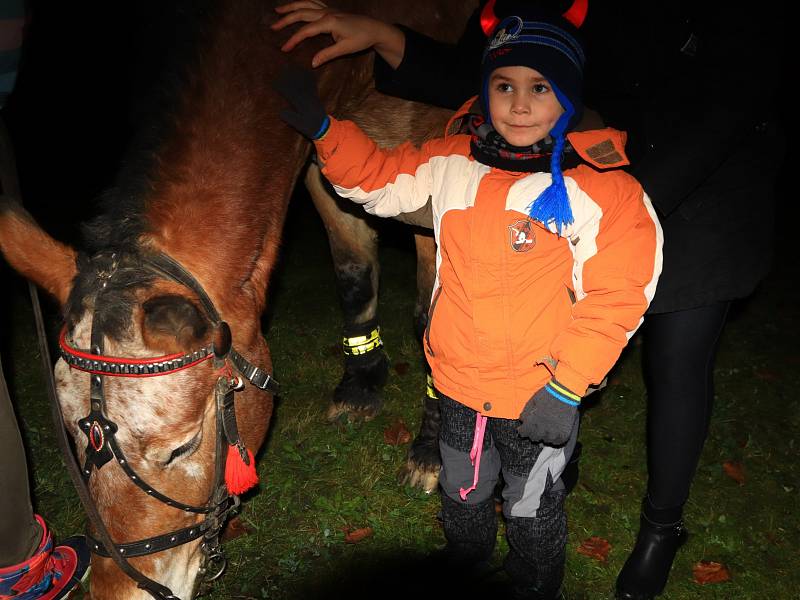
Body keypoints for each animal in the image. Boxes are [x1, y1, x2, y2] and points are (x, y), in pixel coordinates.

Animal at [0, 0, 472, 596]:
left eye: (180, 446)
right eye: (72, 436)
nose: (120, 590)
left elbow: (434, 314)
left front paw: (432, 450)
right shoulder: (325, 157)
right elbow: (352, 271)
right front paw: (361, 386)